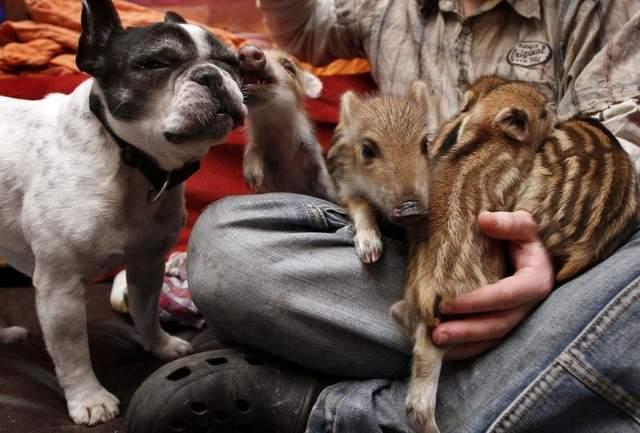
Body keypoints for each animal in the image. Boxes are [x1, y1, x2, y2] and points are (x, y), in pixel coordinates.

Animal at [0, 0, 244, 426]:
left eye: (231, 62)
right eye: (153, 63)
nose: (211, 75)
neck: (132, 161)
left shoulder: (147, 264)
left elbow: (146, 311)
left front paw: (159, 345)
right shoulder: (60, 286)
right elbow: (72, 351)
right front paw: (88, 399)